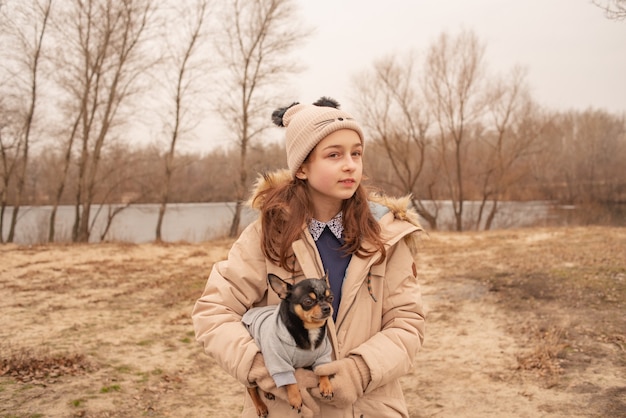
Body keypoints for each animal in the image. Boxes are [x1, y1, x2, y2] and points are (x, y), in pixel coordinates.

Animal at [241, 272, 334, 416]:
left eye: (330, 298)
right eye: (308, 301)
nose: (327, 308)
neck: (310, 330)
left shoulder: (322, 356)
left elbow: (322, 370)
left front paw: (326, 386)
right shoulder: (279, 362)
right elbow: (290, 381)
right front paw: (295, 398)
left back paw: (267, 392)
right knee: (252, 387)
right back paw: (260, 406)